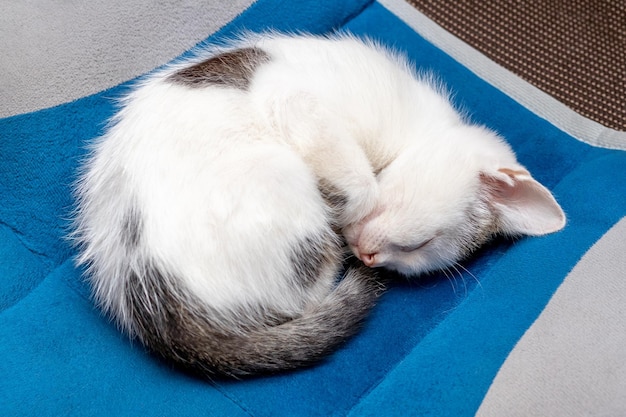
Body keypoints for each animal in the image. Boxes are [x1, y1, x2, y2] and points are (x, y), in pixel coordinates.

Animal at [70, 31, 564, 376]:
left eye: (412, 255)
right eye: (419, 244)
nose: (369, 256)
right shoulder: (290, 95)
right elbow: (362, 187)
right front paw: (352, 199)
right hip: (279, 174)